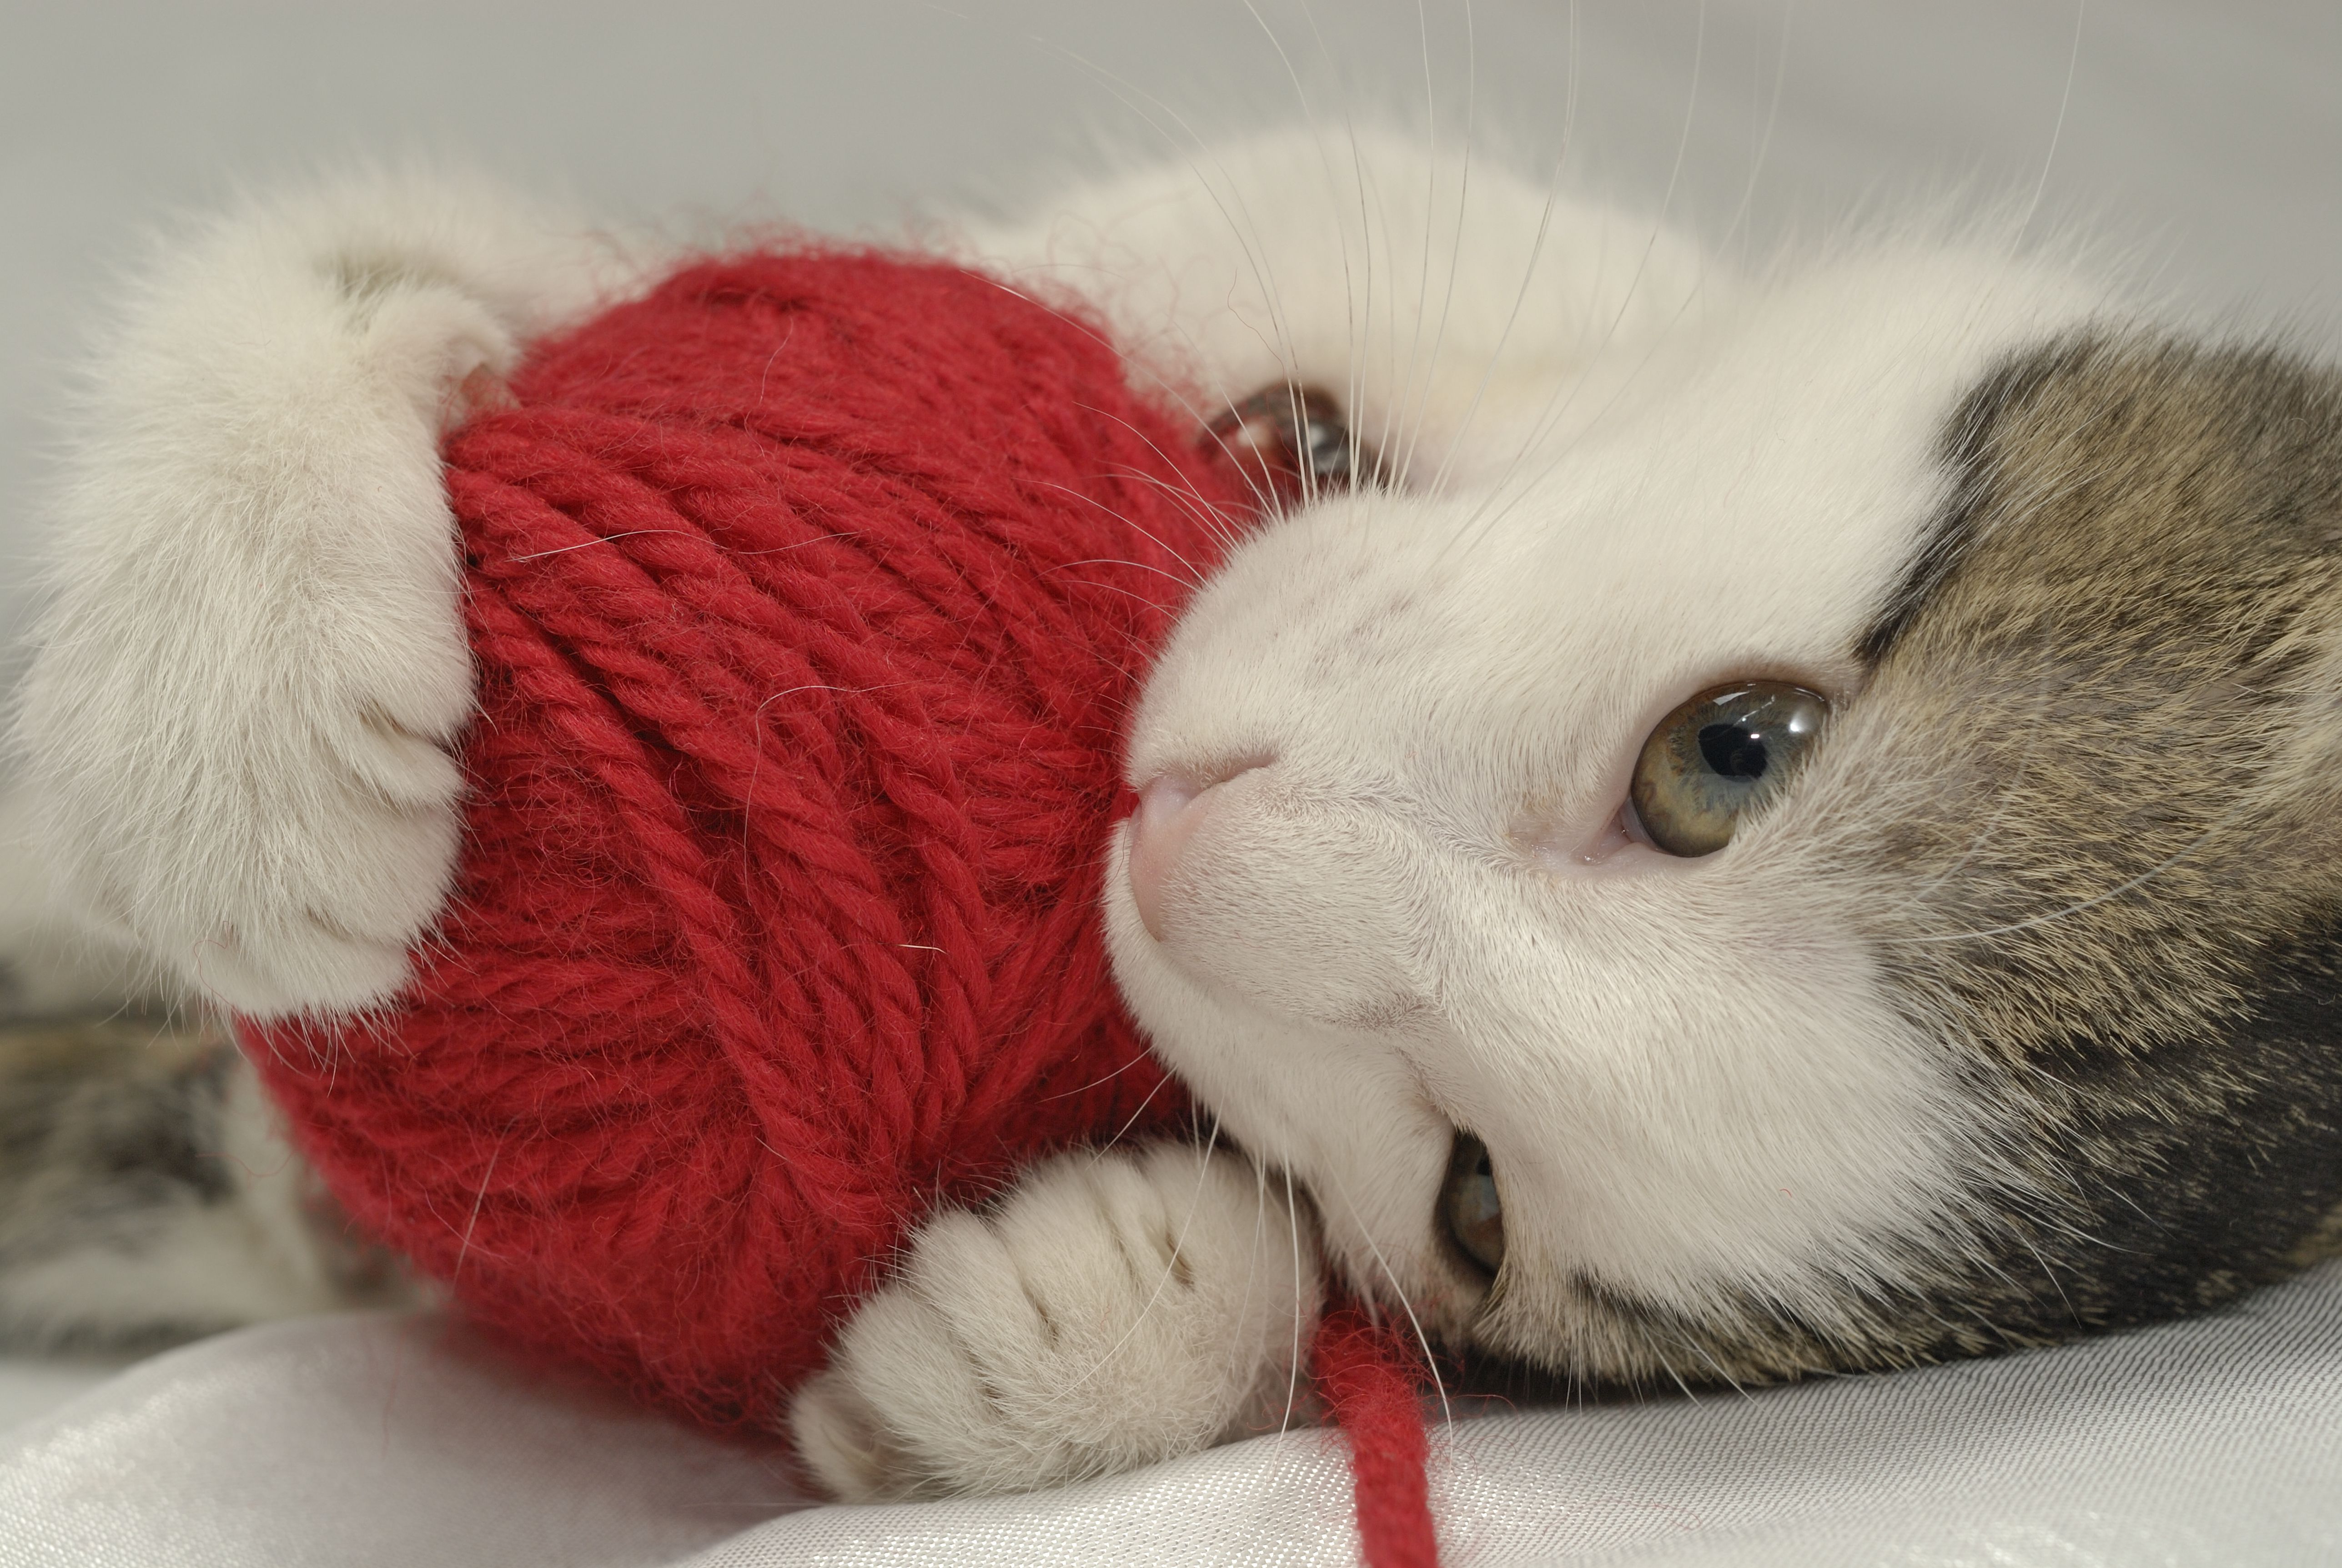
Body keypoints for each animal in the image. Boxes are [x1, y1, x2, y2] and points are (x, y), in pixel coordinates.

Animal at [5, 129, 2342, 1507]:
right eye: (1734, 752)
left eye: (1475, 1202)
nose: (1201, 839)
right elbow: (363, 243)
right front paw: (229, 705)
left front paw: (1080, 1314)